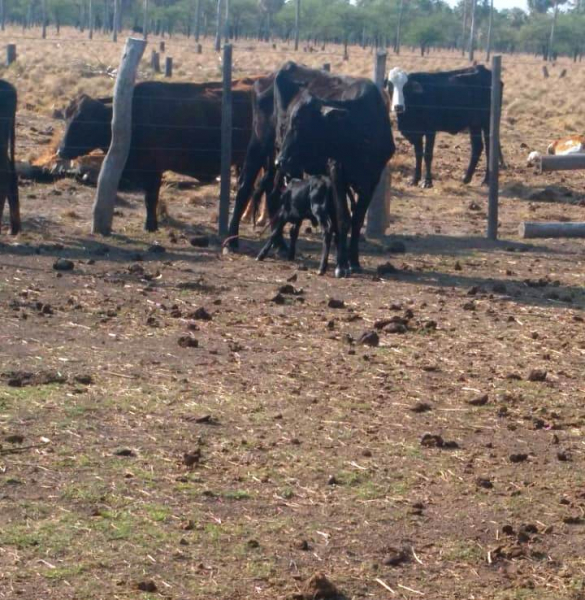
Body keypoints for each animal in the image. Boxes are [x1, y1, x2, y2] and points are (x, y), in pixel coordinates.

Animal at [57, 78, 266, 232]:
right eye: (66, 118)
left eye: (85, 121)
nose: (61, 150)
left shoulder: (153, 170)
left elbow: (151, 198)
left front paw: (150, 225)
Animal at [276, 62, 394, 278]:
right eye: (288, 123)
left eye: (301, 123)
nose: (280, 160)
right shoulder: (337, 173)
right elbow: (343, 219)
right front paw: (341, 264)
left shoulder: (371, 180)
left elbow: (357, 220)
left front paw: (354, 261)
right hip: (293, 167)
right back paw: (284, 247)